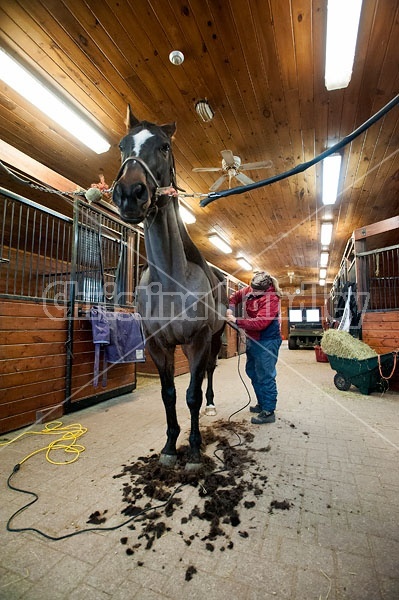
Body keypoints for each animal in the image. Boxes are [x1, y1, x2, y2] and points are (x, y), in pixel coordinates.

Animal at [112, 109, 228, 468]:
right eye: (122, 146)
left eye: (164, 147)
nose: (130, 193)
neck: (170, 282)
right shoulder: (158, 345)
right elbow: (169, 395)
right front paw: (169, 447)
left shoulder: (197, 340)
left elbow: (190, 395)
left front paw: (193, 450)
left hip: (214, 339)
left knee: (209, 373)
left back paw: (211, 405)